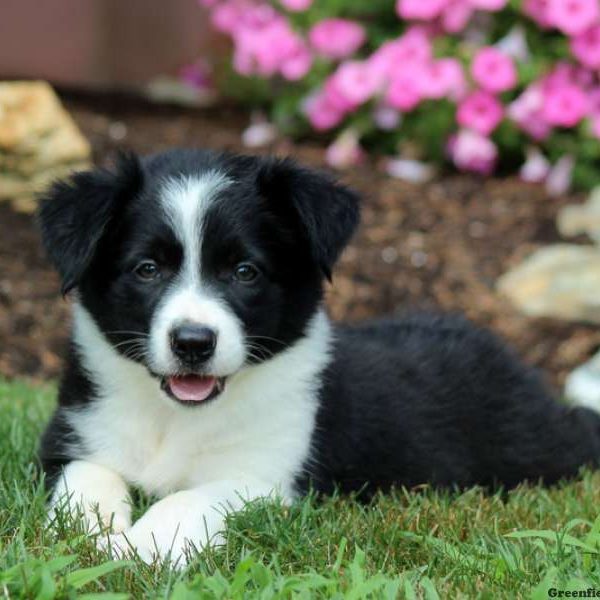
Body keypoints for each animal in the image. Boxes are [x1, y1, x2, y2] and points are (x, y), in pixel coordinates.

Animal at [38, 149, 600, 564]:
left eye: (245, 272)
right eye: (147, 269)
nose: (193, 343)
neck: (176, 417)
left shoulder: (271, 478)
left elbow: (193, 497)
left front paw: (137, 548)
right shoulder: (73, 434)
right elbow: (85, 480)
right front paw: (92, 537)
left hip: (537, 448)